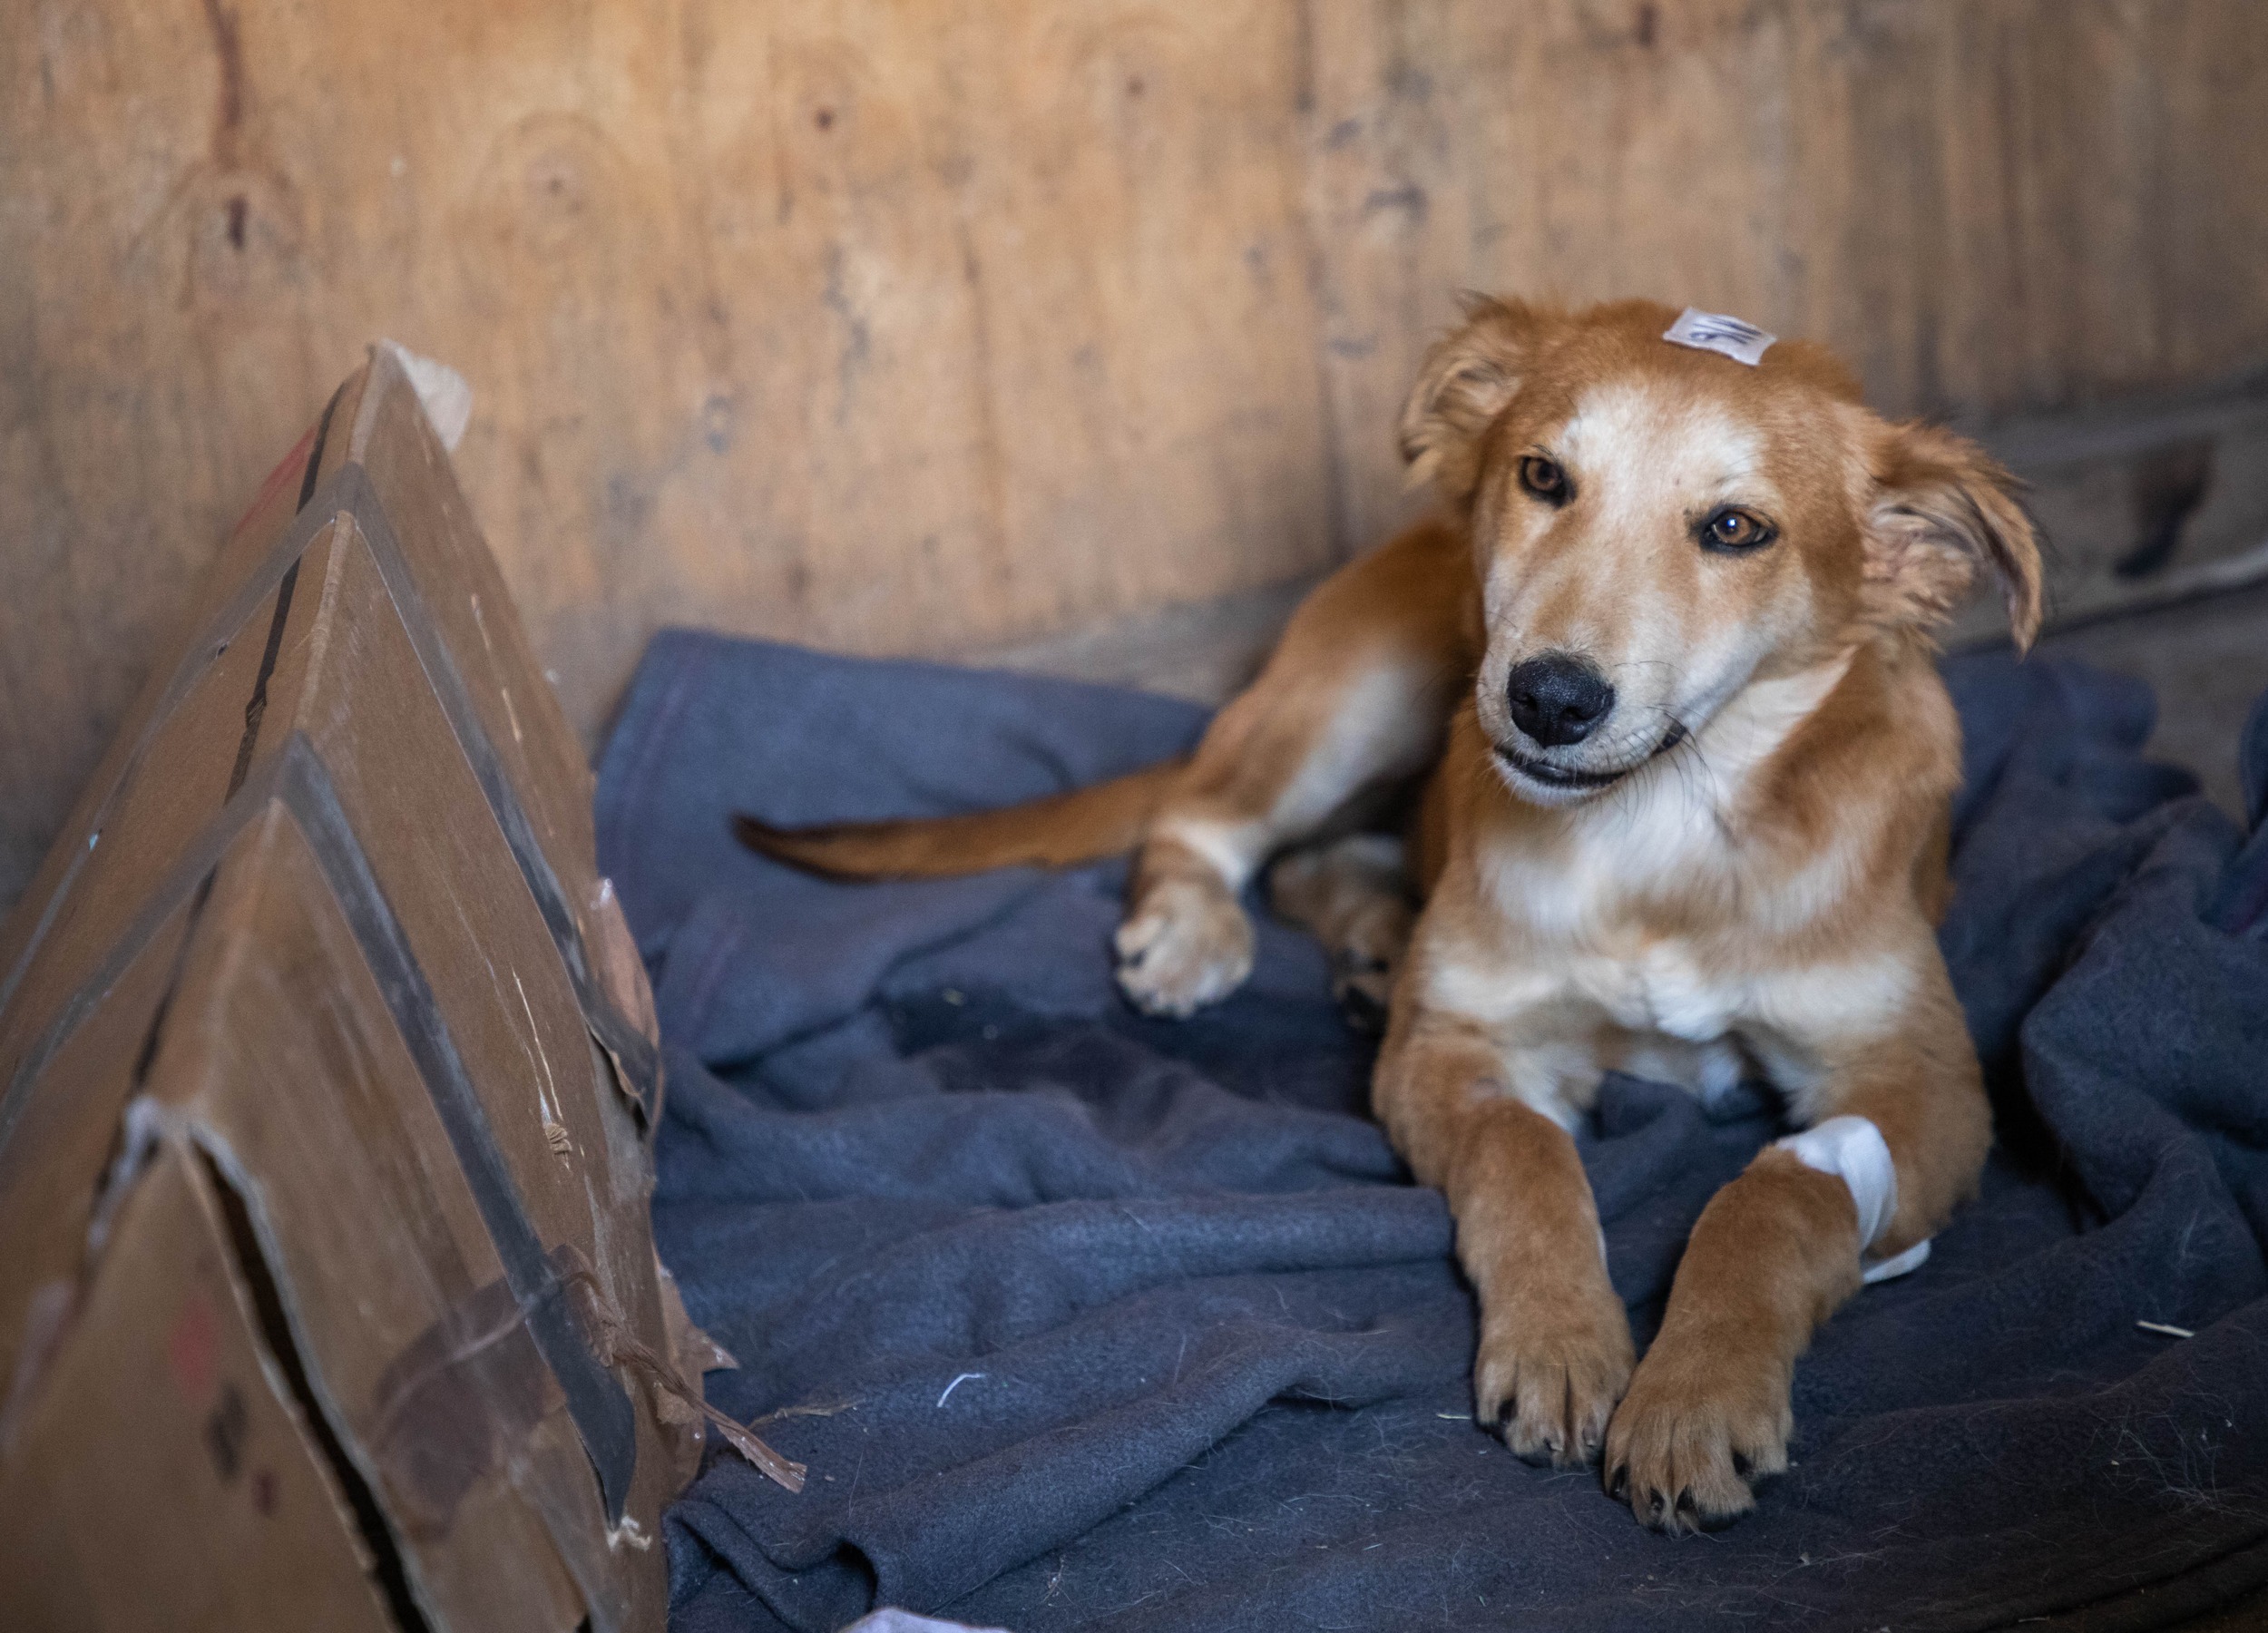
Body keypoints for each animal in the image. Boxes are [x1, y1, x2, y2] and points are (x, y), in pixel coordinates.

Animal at [739, 299, 2041, 1533]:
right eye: (1544, 477)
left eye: (1736, 530)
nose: (1548, 698)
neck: (1658, 832)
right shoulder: (1454, 1045)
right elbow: (1526, 1153)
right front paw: (1562, 1342)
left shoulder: (1925, 1083)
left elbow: (1779, 1194)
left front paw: (1695, 1395)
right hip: (1354, 700)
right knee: (1211, 821)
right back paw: (1203, 933)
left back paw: (1371, 943)